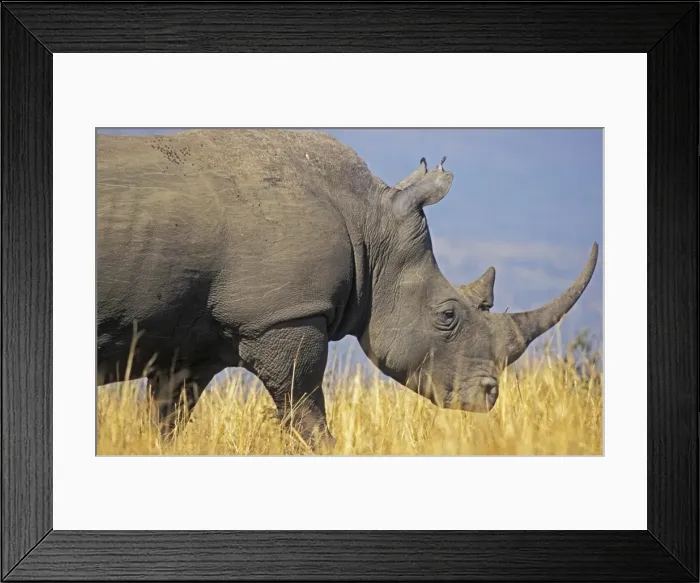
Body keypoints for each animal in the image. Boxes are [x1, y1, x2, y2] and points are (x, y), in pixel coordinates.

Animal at [97, 129, 598, 450]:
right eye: (447, 316)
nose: (490, 396)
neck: (369, 219)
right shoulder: (283, 315)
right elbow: (303, 406)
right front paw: (328, 448)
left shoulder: (188, 342)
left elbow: (168, 418)